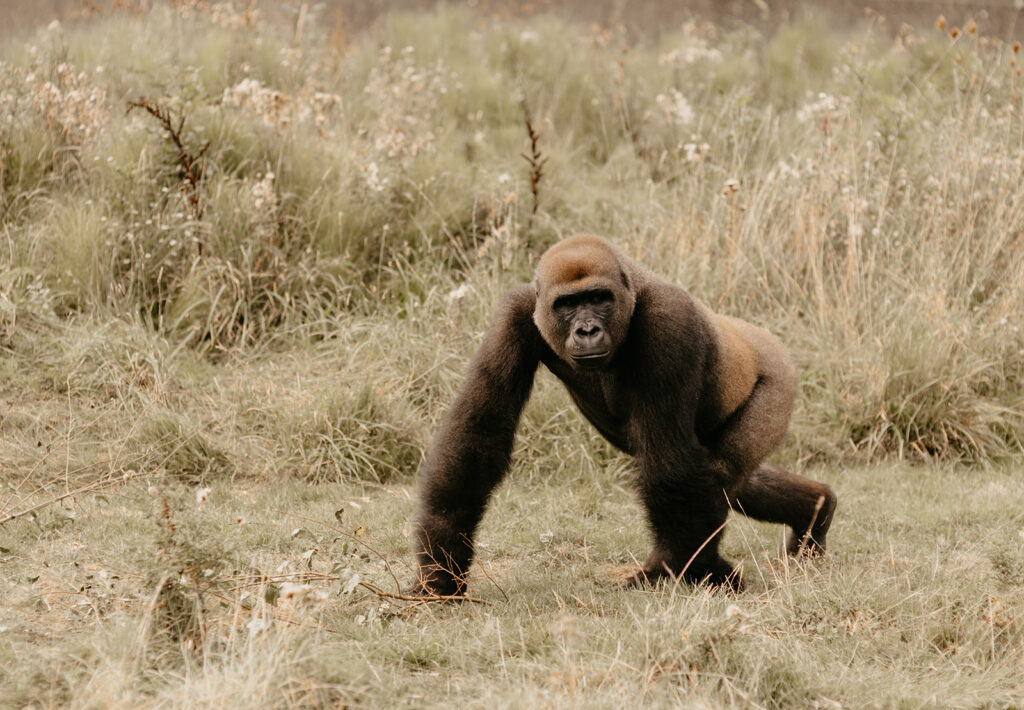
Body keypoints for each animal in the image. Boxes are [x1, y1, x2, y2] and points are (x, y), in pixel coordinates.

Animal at [411, 232, 835, 594]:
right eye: (567, 305)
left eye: (599, 298)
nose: (586, 330)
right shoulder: (516, 315)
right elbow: (478, 438)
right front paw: (441, 568)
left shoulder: (668, 320)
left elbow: (669, 462)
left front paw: (703, 571)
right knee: (731, 482)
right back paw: (816, 509)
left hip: (777, 383)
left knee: (719, 471)